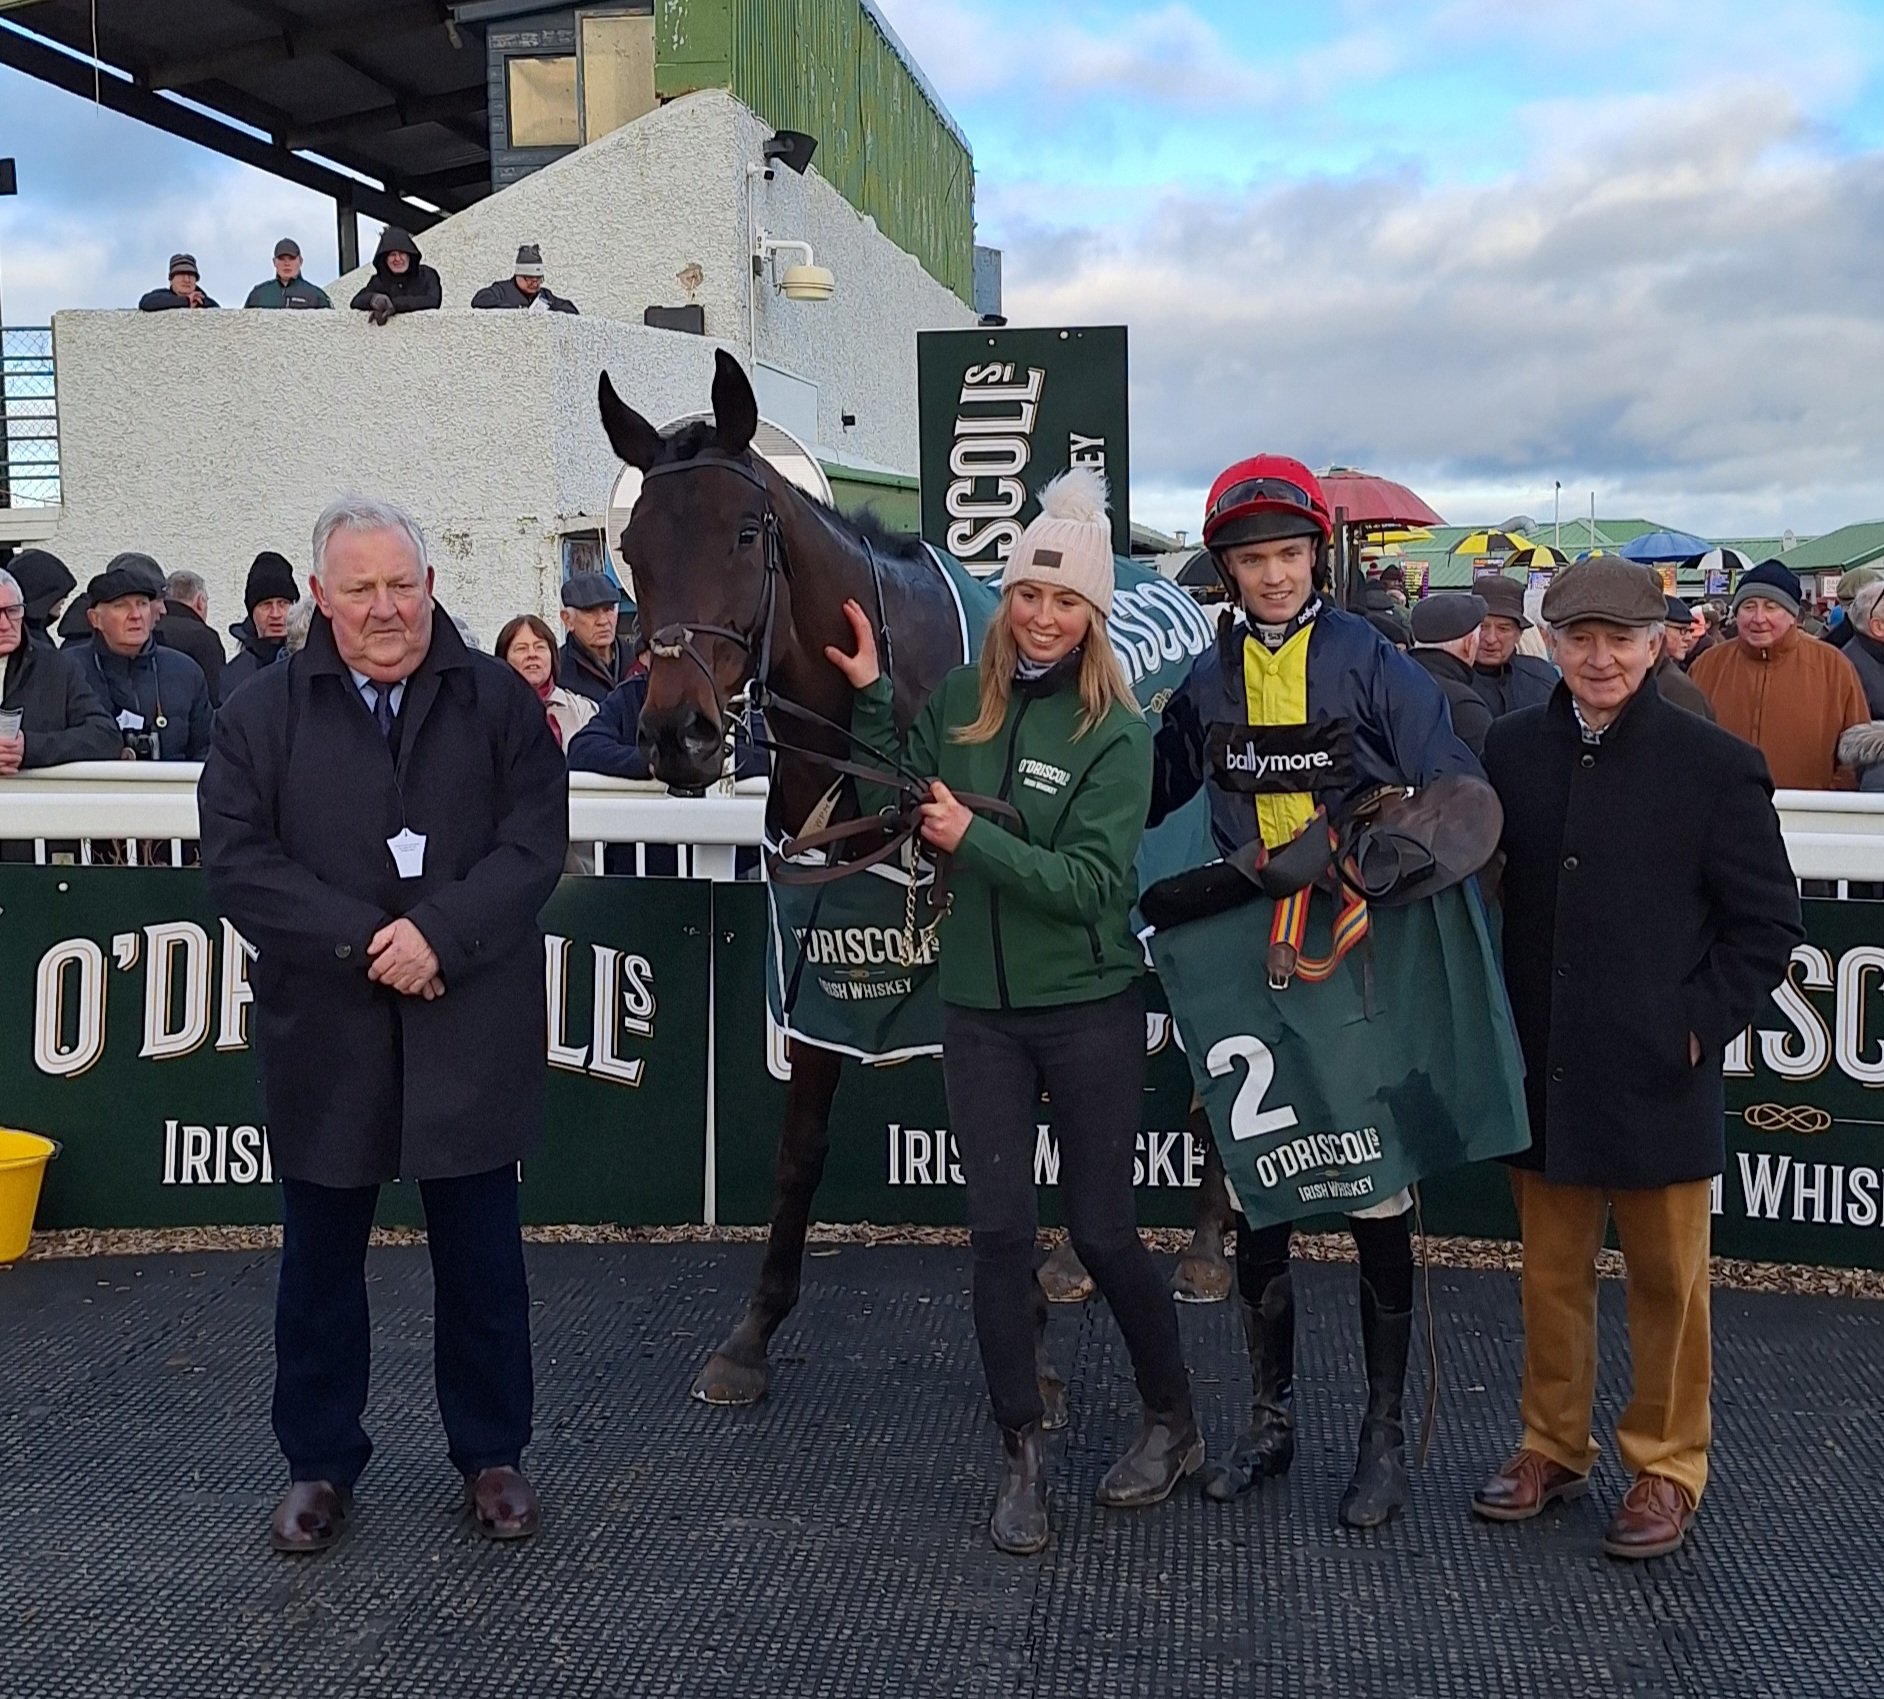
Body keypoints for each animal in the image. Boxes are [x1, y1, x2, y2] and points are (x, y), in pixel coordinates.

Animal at [595, 348, 1228, 1408]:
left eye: (743, 532)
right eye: (634, 546)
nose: (677, 733)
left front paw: (1032, 1339)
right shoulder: (820, 952)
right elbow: (799, 1150)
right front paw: (753, 1331)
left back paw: (1212, 1241)